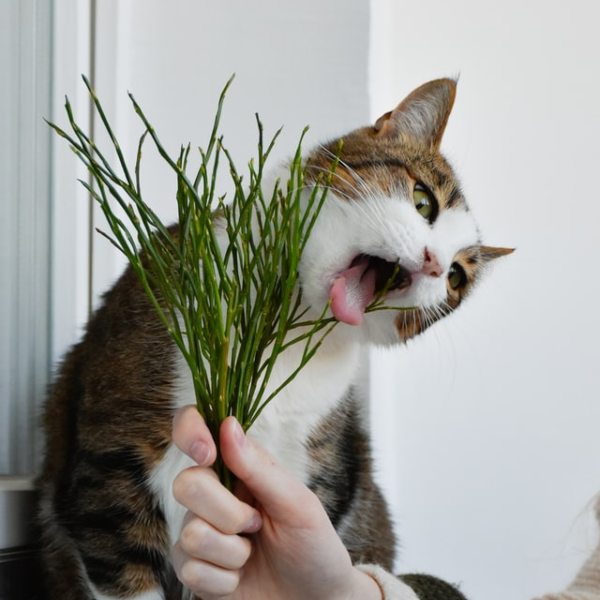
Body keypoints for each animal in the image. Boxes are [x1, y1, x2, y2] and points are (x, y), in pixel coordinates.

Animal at [36, 79, 510, 600]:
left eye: (455, 278)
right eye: (424, 201)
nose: (433, 263)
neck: (288, 327)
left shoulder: (313, 467)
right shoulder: (114, 460)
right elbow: (120, 554)